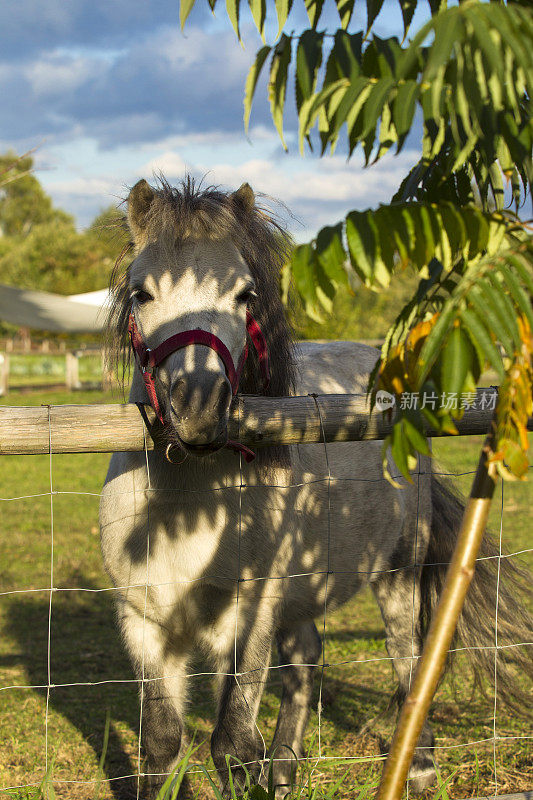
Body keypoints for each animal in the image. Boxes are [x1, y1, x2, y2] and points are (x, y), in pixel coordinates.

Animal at [98, 178, 528, 796]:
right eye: (141, 293)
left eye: (245, 295)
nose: (200, 407)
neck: (187, 513)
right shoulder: (143, 622)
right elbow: (160, 745)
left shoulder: (250, 615)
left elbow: (232, 746)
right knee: (306, 661)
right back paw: (285, 769)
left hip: (397, 575)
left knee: (408, 657)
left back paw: (419, 767)